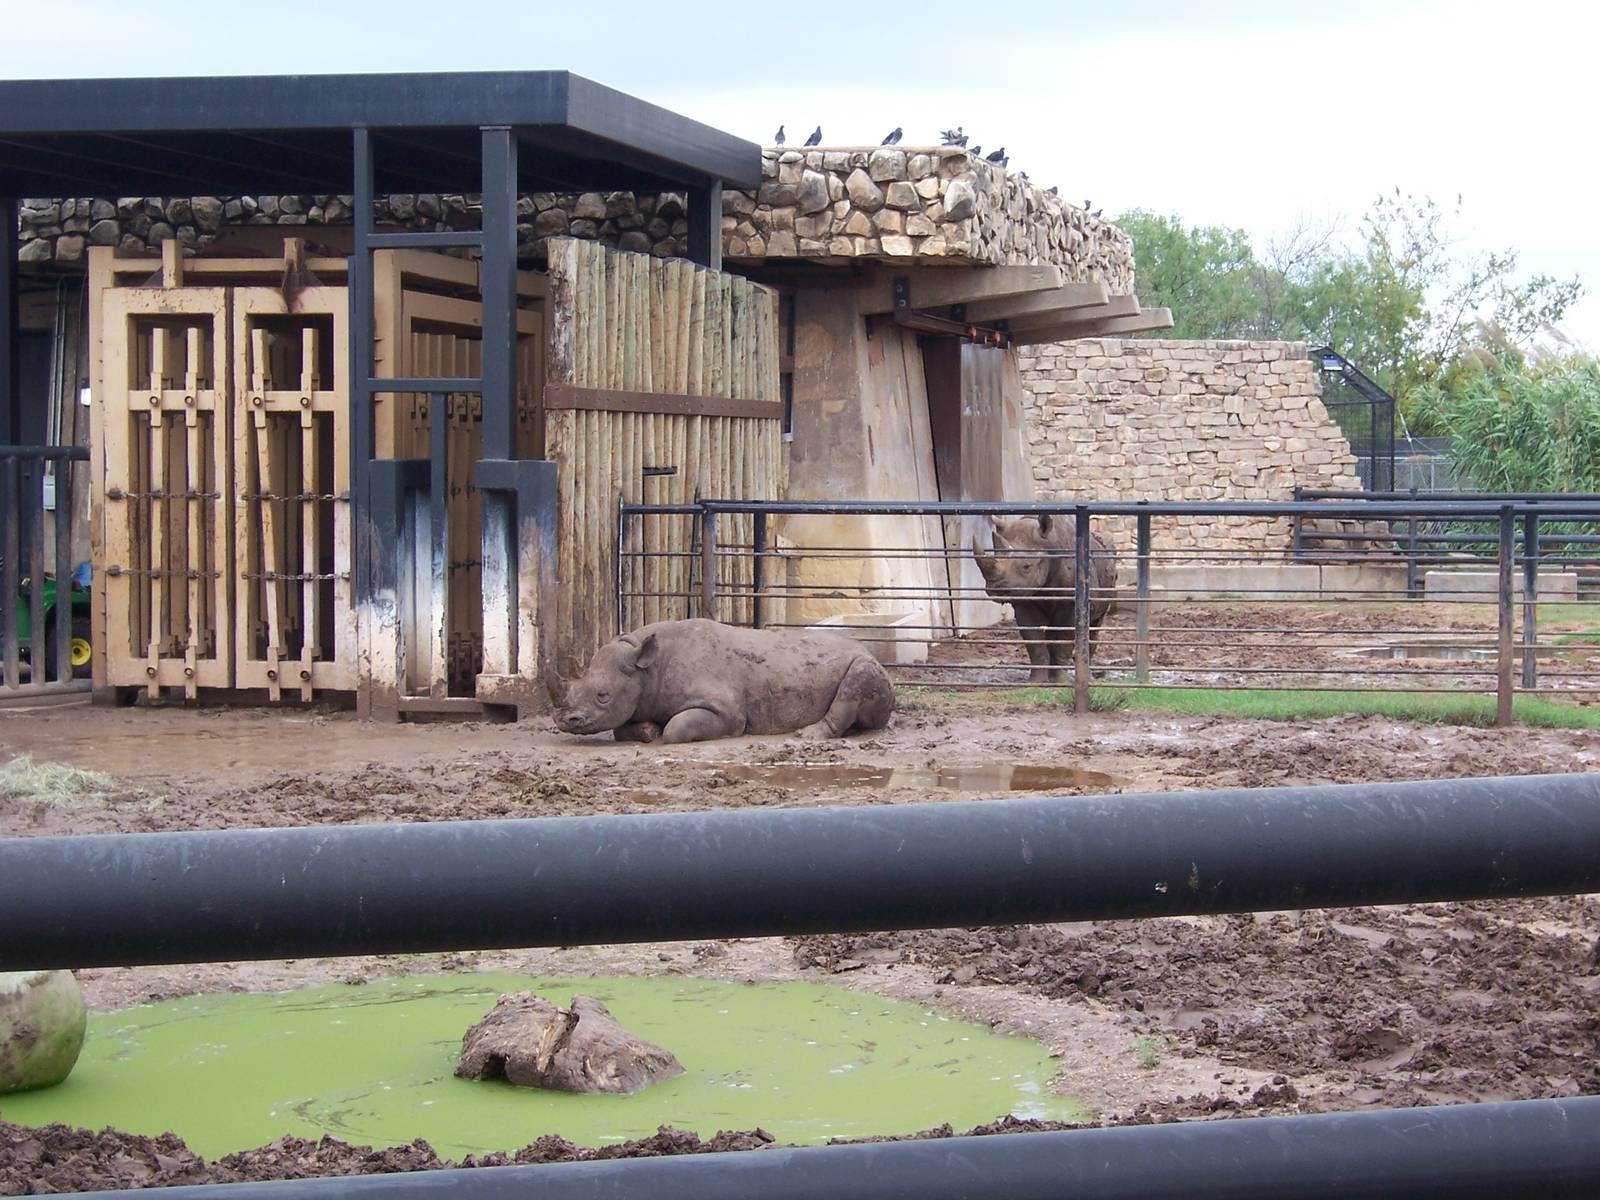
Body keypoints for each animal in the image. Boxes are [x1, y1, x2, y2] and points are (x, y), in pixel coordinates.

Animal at [552, 618, 894, 743]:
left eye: (603, 696)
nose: (565, 721)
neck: (645, 668)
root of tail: (870, 650)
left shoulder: (725, 710)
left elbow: (677, 729)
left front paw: (660, 732)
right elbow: (621, 727)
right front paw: (648, 731)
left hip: (867, 664)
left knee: (858, 677)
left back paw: (805, 736)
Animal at [971, 514, 1117, 684]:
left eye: (1026, 566)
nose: (996, 589)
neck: (1048, 544)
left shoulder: (1071, 603)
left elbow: (1064, 639)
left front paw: (1060, 682)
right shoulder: (1024, 599)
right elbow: (1033, 640)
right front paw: (1035, 682)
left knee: (1095, 625)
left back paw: (1088, 678)